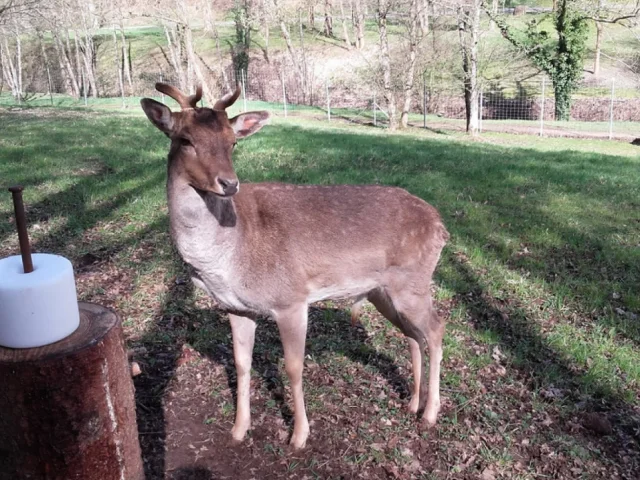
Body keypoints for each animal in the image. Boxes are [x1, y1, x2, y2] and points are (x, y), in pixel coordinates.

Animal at [141, 83, 450, 450]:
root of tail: (441, 226)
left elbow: (293, 367)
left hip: (413, 282)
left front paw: (299, 435)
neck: (227, 257)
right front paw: (239, 430)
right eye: (185, 139)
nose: (229, 183)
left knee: (436, 329)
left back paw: (430, 414)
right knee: (413, 334)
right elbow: (241, 364)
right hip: (383, 291)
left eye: (233, 141)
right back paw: (412, 403)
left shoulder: (291, 298)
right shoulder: (237, 307)